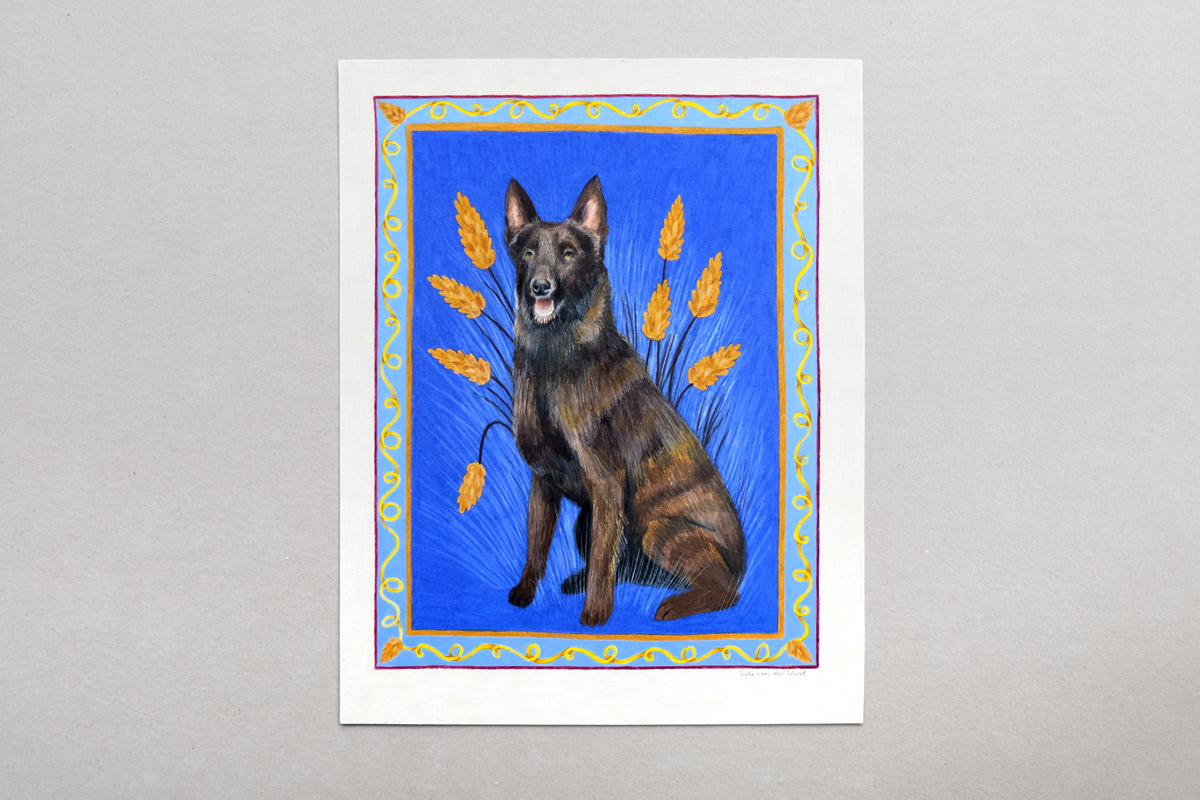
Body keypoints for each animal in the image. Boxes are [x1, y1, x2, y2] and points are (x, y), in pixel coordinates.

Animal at [504, 175, 746, 627]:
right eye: (528, 254)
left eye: (568, 254)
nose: (540, 287)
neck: (556, 362)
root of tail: (743, 564)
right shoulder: (544, 480)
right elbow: (534, 546)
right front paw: (526, 592)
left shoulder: (605, 485)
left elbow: (603, 557)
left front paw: (596, 614)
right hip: (587, 520)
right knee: (628, 566)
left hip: (658, 530)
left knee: (725, 592)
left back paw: (674, 605)